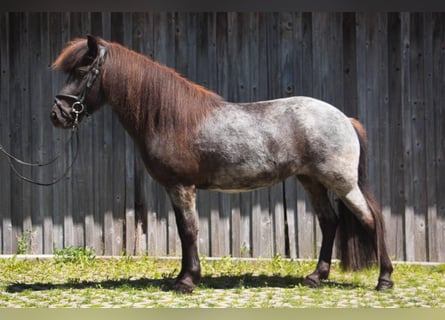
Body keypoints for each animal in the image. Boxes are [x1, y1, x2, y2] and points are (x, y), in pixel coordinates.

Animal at [50, 34, 394, 292]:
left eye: (81, 71)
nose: (58, 115)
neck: (170, 119)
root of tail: (345, 118)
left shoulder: (182, 187)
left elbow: (189, 231)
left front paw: (187, 281)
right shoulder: (175, 189)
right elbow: (182, 231)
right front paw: (182, 277)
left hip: (342, 182)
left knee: (372, 218)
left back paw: (384, 279)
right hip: (312, 181)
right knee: (329, 221)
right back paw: (315, 277)